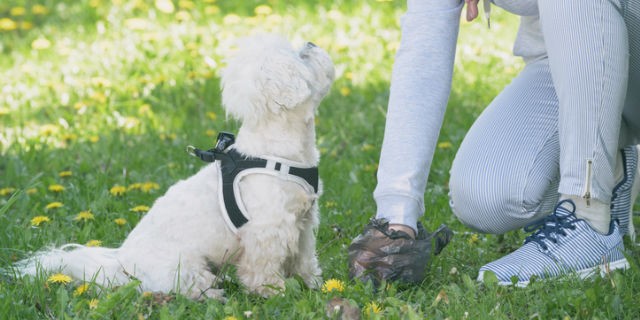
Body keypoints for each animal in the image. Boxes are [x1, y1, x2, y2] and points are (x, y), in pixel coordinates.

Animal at [15, 35, 336, 300]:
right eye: (301, 56)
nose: (311, 42)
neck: (276, 149)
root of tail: (122, 263)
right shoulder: (267, 230)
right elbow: (263, 268)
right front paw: (274, 291)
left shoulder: (304, 222)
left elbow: (304, 259)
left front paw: (313, 285)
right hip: (184, 267)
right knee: (189, 286)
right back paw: (213, 295)